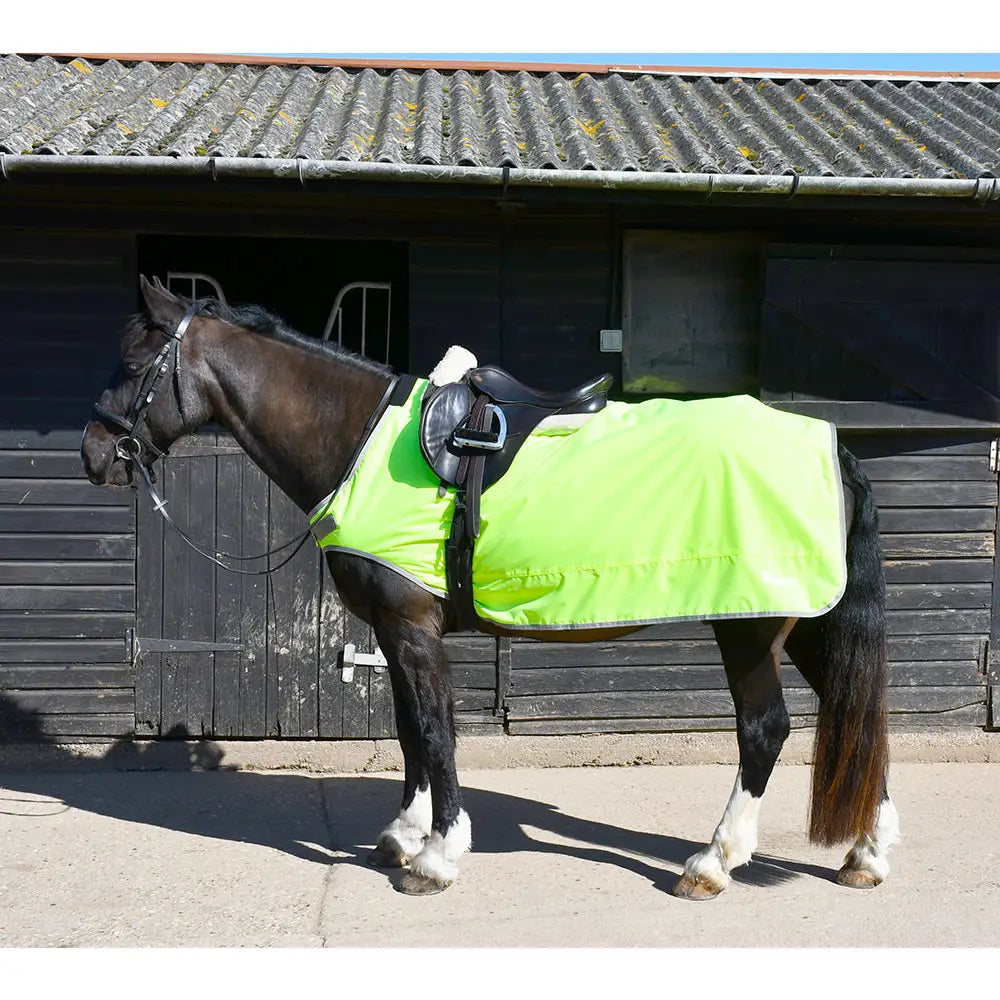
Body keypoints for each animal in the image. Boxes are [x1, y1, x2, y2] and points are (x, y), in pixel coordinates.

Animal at [81, 276, 899, 899]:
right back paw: (866, 854)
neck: (358, 440)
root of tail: (830, 447)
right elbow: (409, 731)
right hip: (810, 620)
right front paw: (404, 835)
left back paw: (713, 862)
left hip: (750, 627)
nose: (93, 453)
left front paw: (437, 857)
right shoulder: (393, 631)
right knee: (855, 711)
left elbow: (436, 731)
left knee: (766, 730)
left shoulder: (412, 628)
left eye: (135, 361)